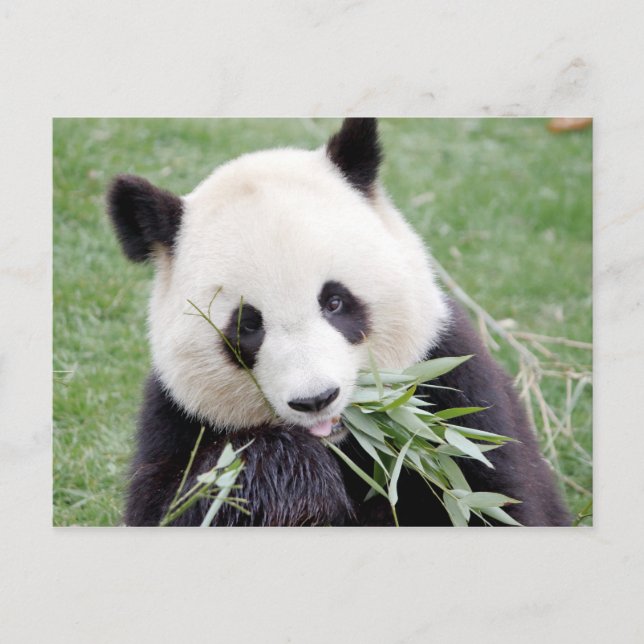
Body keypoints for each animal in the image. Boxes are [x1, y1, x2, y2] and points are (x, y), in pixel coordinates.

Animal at [107, 118, 570, 527]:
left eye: (334, 302)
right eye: (247, 326)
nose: (315, 399)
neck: (343, 443)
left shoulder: (455, 386)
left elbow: (497, 500)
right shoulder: (178, 417)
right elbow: (180, 503)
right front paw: (289, 475)